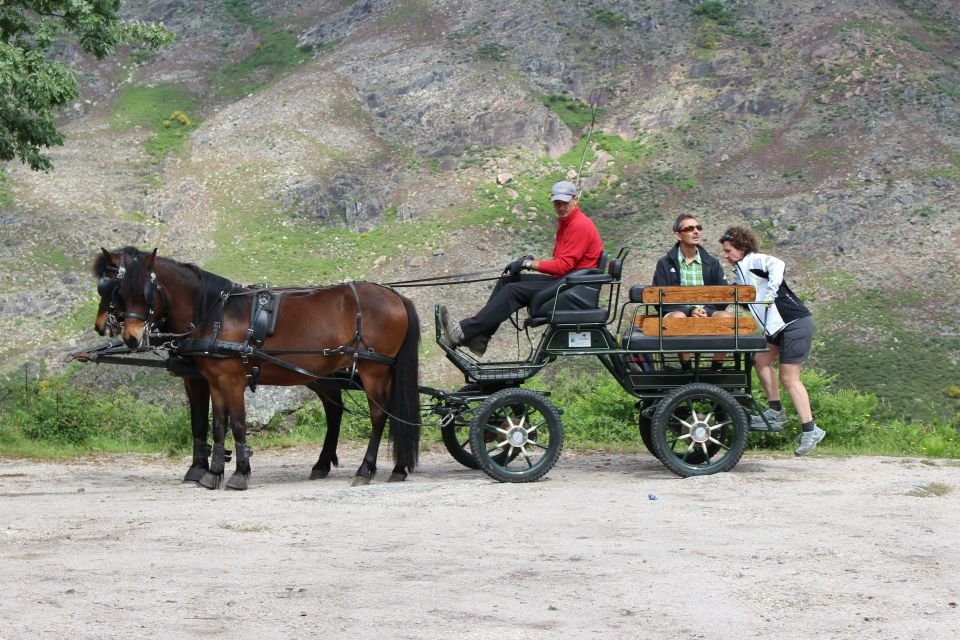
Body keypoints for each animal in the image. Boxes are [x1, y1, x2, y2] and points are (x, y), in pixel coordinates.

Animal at [108, 248, 416, 488]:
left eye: (146, 292)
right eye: (120, 292)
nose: (131, 337)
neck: (216, 314)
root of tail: (396, 297)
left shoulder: (231, 381)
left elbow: (238, 424)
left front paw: (239, 474)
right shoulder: (215, 381)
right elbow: (218, 425)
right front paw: (214, 473)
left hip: (372, 370)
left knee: (379, 415)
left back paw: (365, 469)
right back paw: (395, 468)